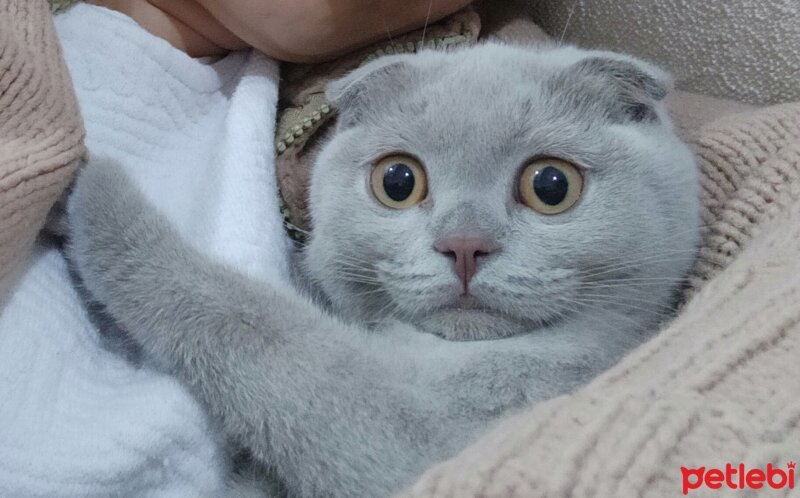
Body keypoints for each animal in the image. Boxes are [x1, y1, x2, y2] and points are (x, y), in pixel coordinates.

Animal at [65, 43, 700, 498]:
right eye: (398, 181)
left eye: (551, 186)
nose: (463, 244)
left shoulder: (427, 437)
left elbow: (255, 322)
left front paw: (94, 190)